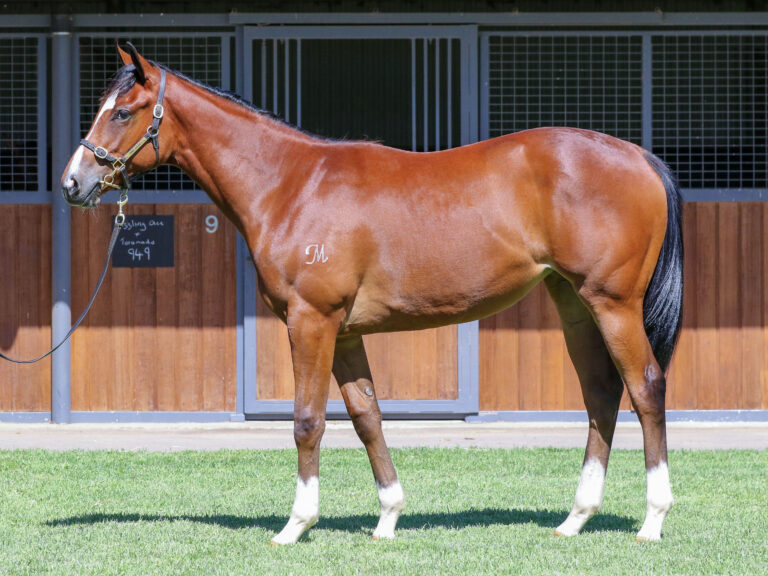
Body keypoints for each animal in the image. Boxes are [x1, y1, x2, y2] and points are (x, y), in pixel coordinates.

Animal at [61, 44, 684, 544]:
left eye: (121, 112)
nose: (73, 182)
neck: (289, 184)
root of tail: (638, 155)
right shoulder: (345, 333)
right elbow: (367, 418)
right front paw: (388, 518)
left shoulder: (312, 322)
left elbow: (307, 420)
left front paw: (295, 526)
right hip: (573, 303)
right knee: (600, 394)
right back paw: (575, 519)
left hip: (612, 304)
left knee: (645, 388)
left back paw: (653, 520)